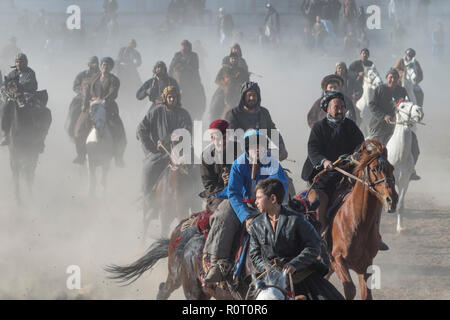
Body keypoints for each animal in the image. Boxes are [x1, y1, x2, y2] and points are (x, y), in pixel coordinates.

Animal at [326, 140, 398, 300]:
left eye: (392, 168)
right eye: (375, 169)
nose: (393, 199)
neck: (357, 222)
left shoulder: (364, 265)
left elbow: (366, 293)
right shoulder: (338, 259)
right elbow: (350, 289)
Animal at [384, 100, 424, 232]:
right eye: (402, 106)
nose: (419, 111)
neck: (398, 156)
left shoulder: (405, 182)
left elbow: (400, 205)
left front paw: (400, 228)